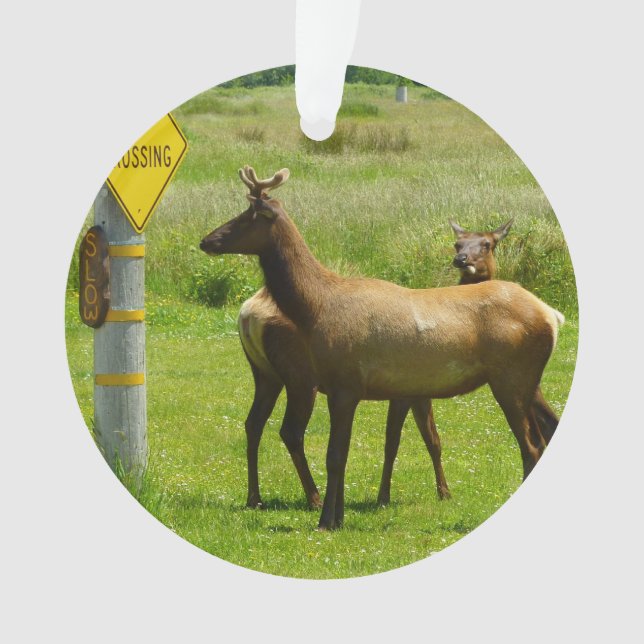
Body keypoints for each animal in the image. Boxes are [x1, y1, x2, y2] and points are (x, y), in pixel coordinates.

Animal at [200, 167, 565, 530]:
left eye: (247, 216)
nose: (206, 240)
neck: (315, 309)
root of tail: (552, 316)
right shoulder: (347, 387)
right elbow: (349, 452)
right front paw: (339, 516)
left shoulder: (346, 384)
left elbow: (336, 456)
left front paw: (327, 520)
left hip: (512, 377)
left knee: (531, 445)